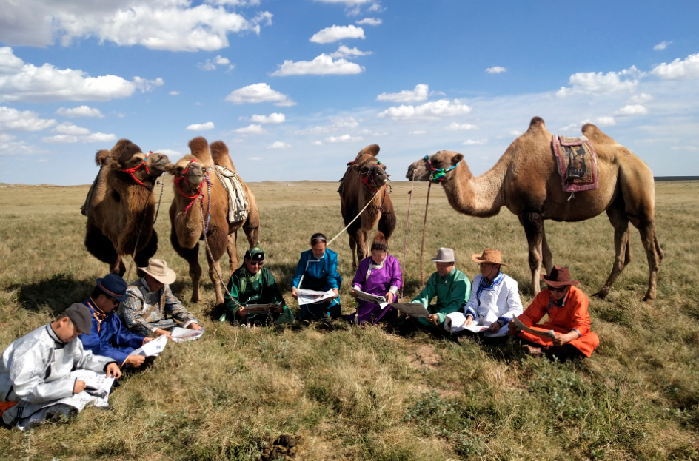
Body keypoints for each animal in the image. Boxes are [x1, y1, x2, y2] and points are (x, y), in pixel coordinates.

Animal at [84, 138, 172, 274]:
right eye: (136, 159)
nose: (163, 157)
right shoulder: (101, 239)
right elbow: (116, 268)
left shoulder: (145, 243)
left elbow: (142, 265)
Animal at [168, 135, 262, 304]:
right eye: (178, 169)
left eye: (204, 169)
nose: (197, 172)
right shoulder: (184, 241)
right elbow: (195, 270)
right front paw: (195, 298)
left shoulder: (214, 235)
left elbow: (214, 272)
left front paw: (219, 300)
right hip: (230, 231)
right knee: (234, 256)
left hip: (252, 218)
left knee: (253, 239)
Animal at [404, 117, 660, 300]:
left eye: (437, 160)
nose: (409, 169)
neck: (503, 178)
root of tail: (643, 163)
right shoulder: (533, 215)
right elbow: (547, 255)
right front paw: (550, 286)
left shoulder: (532, 212)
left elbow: (535, 257)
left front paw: (537, 291)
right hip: (617, 206)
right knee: (622, 239)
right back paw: (603, 291)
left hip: (638, 189)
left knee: (650, 245)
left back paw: (649, 294)